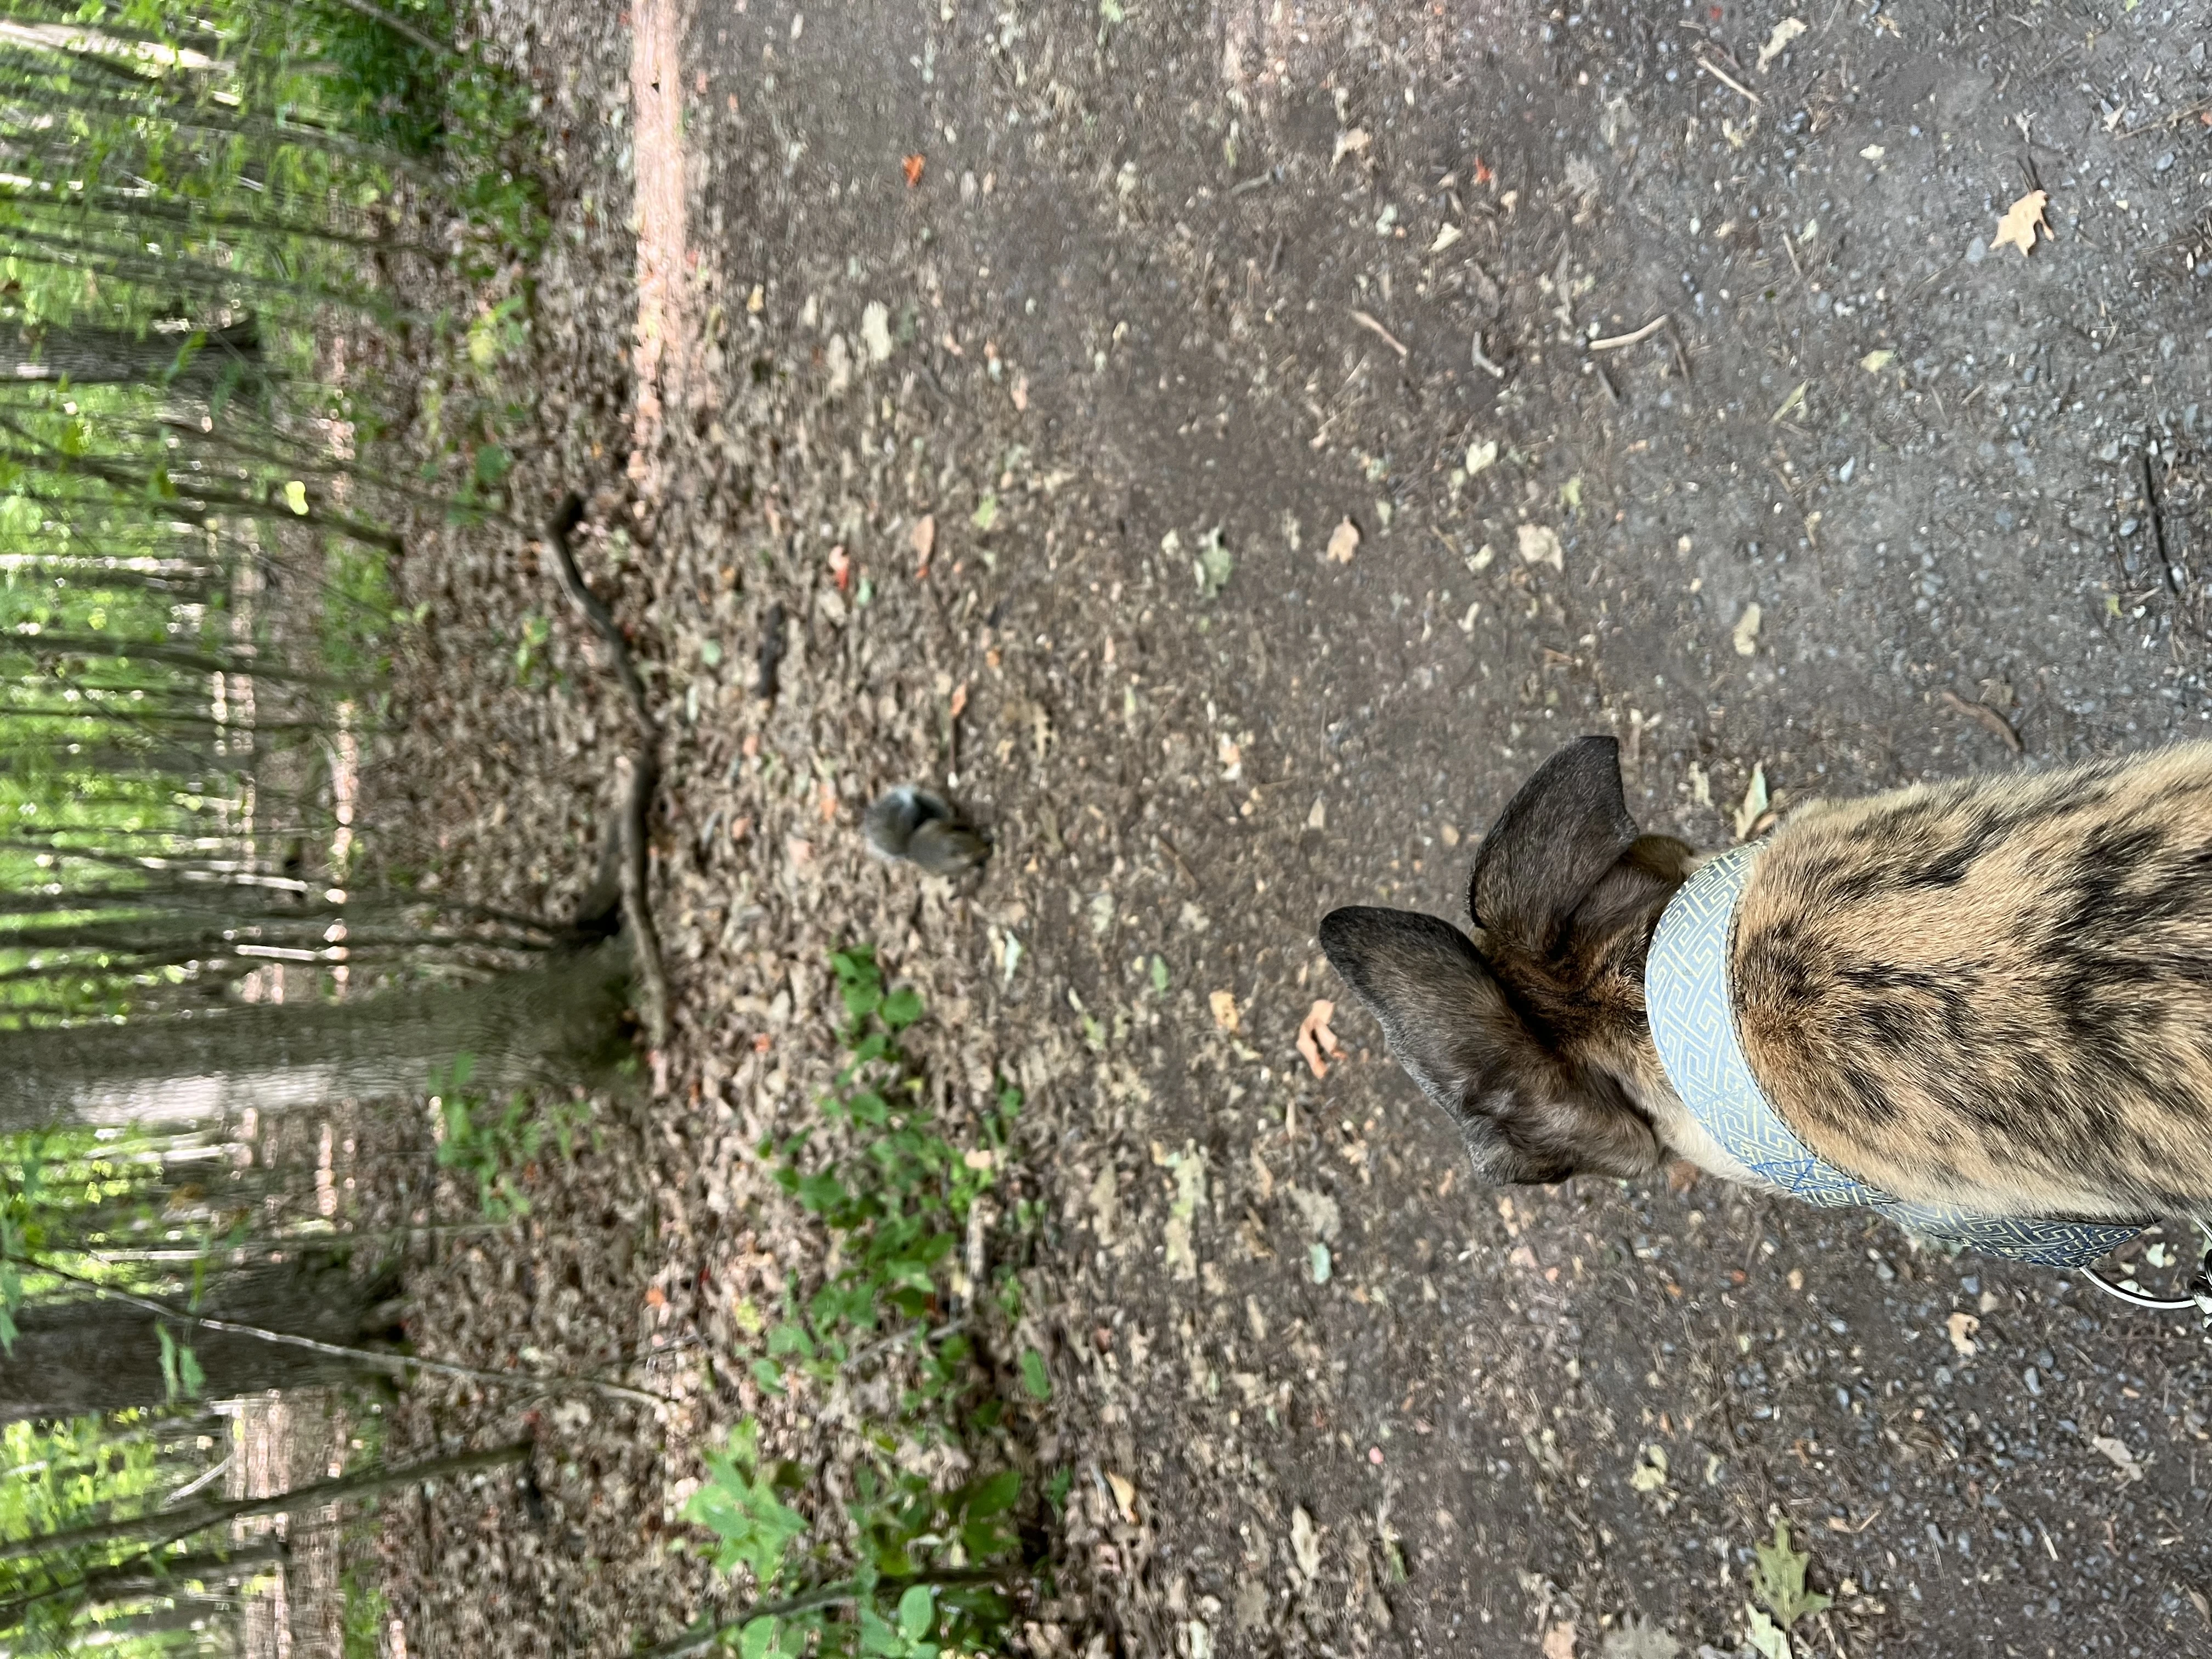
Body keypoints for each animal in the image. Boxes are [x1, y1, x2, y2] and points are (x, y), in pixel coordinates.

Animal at [862, 786, 990, 876]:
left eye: (969, 835)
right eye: (971, 855)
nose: (986, 848)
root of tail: (911, 846)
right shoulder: (952, 867)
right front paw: (976, 868)